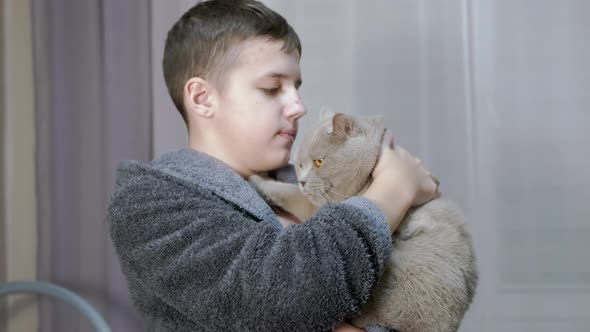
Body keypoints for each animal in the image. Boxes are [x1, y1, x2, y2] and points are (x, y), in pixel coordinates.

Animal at [247, 112, 478, 332]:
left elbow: (288, 192)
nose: (302, 181)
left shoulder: (314, 205)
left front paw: (257, 180)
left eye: (319, 162)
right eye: (300, 165)